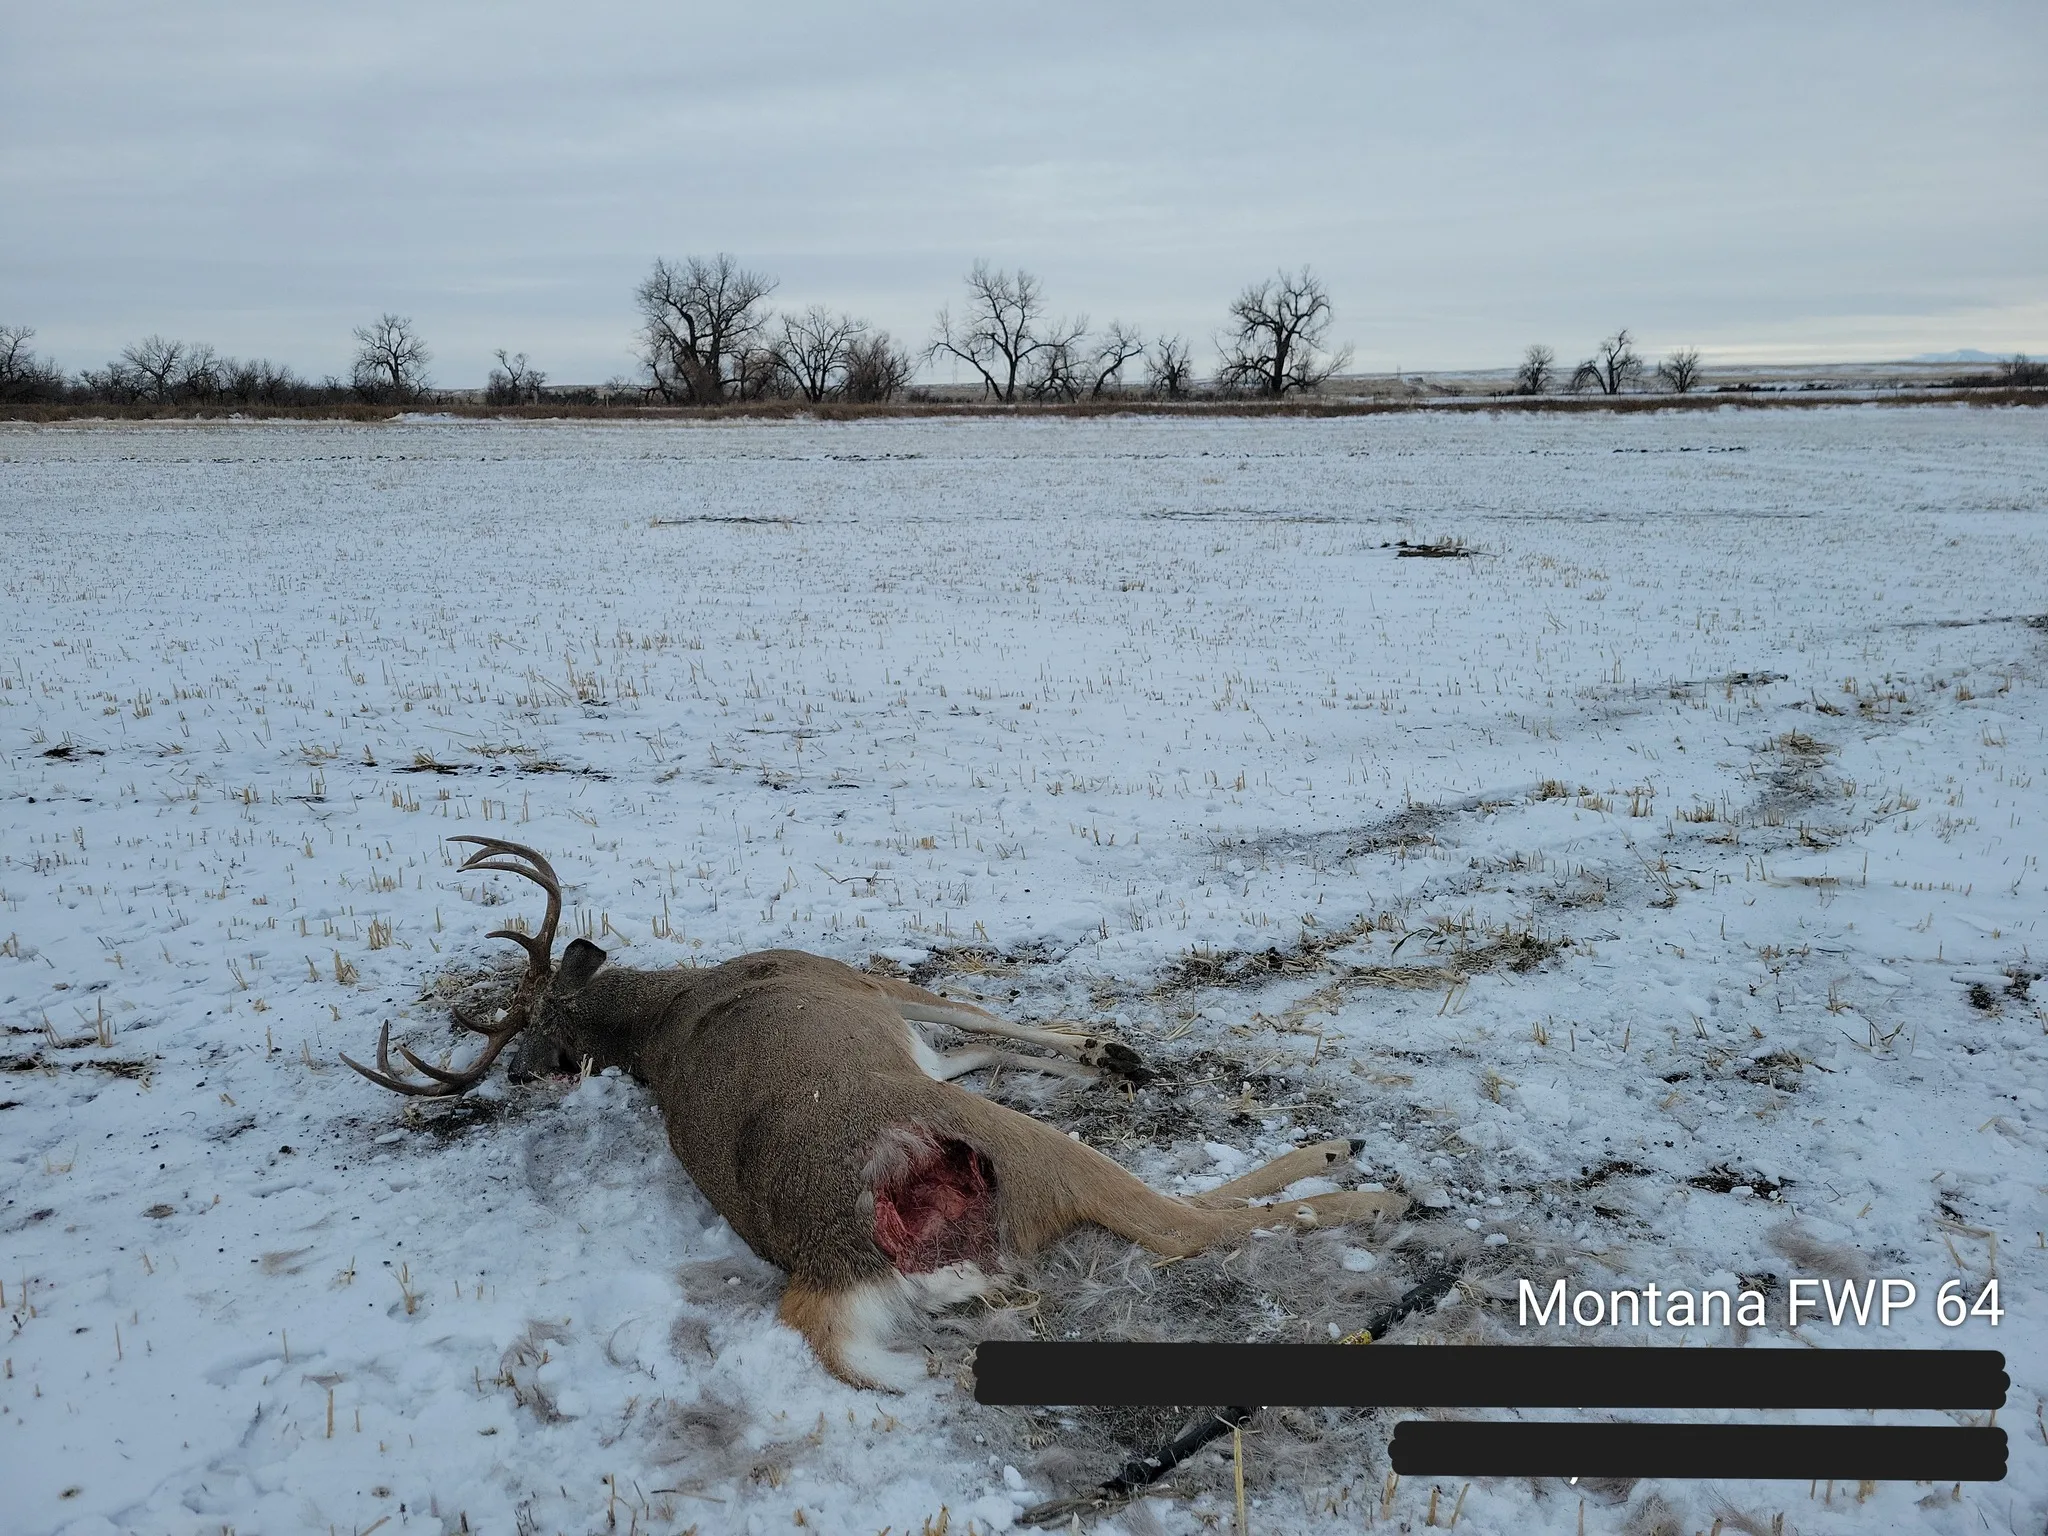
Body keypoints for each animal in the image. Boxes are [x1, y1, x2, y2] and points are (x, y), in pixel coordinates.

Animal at [352, 843, 1409, 1392]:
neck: (666, 1011)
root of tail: (833, 1267)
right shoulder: (856, 984)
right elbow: (974, 1010)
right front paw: (1108, 1047)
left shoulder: (913, 1045)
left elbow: (984, 1038)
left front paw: (1099, 1050)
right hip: (1005, 1142)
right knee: (1182, 1222)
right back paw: (1361, 1176)